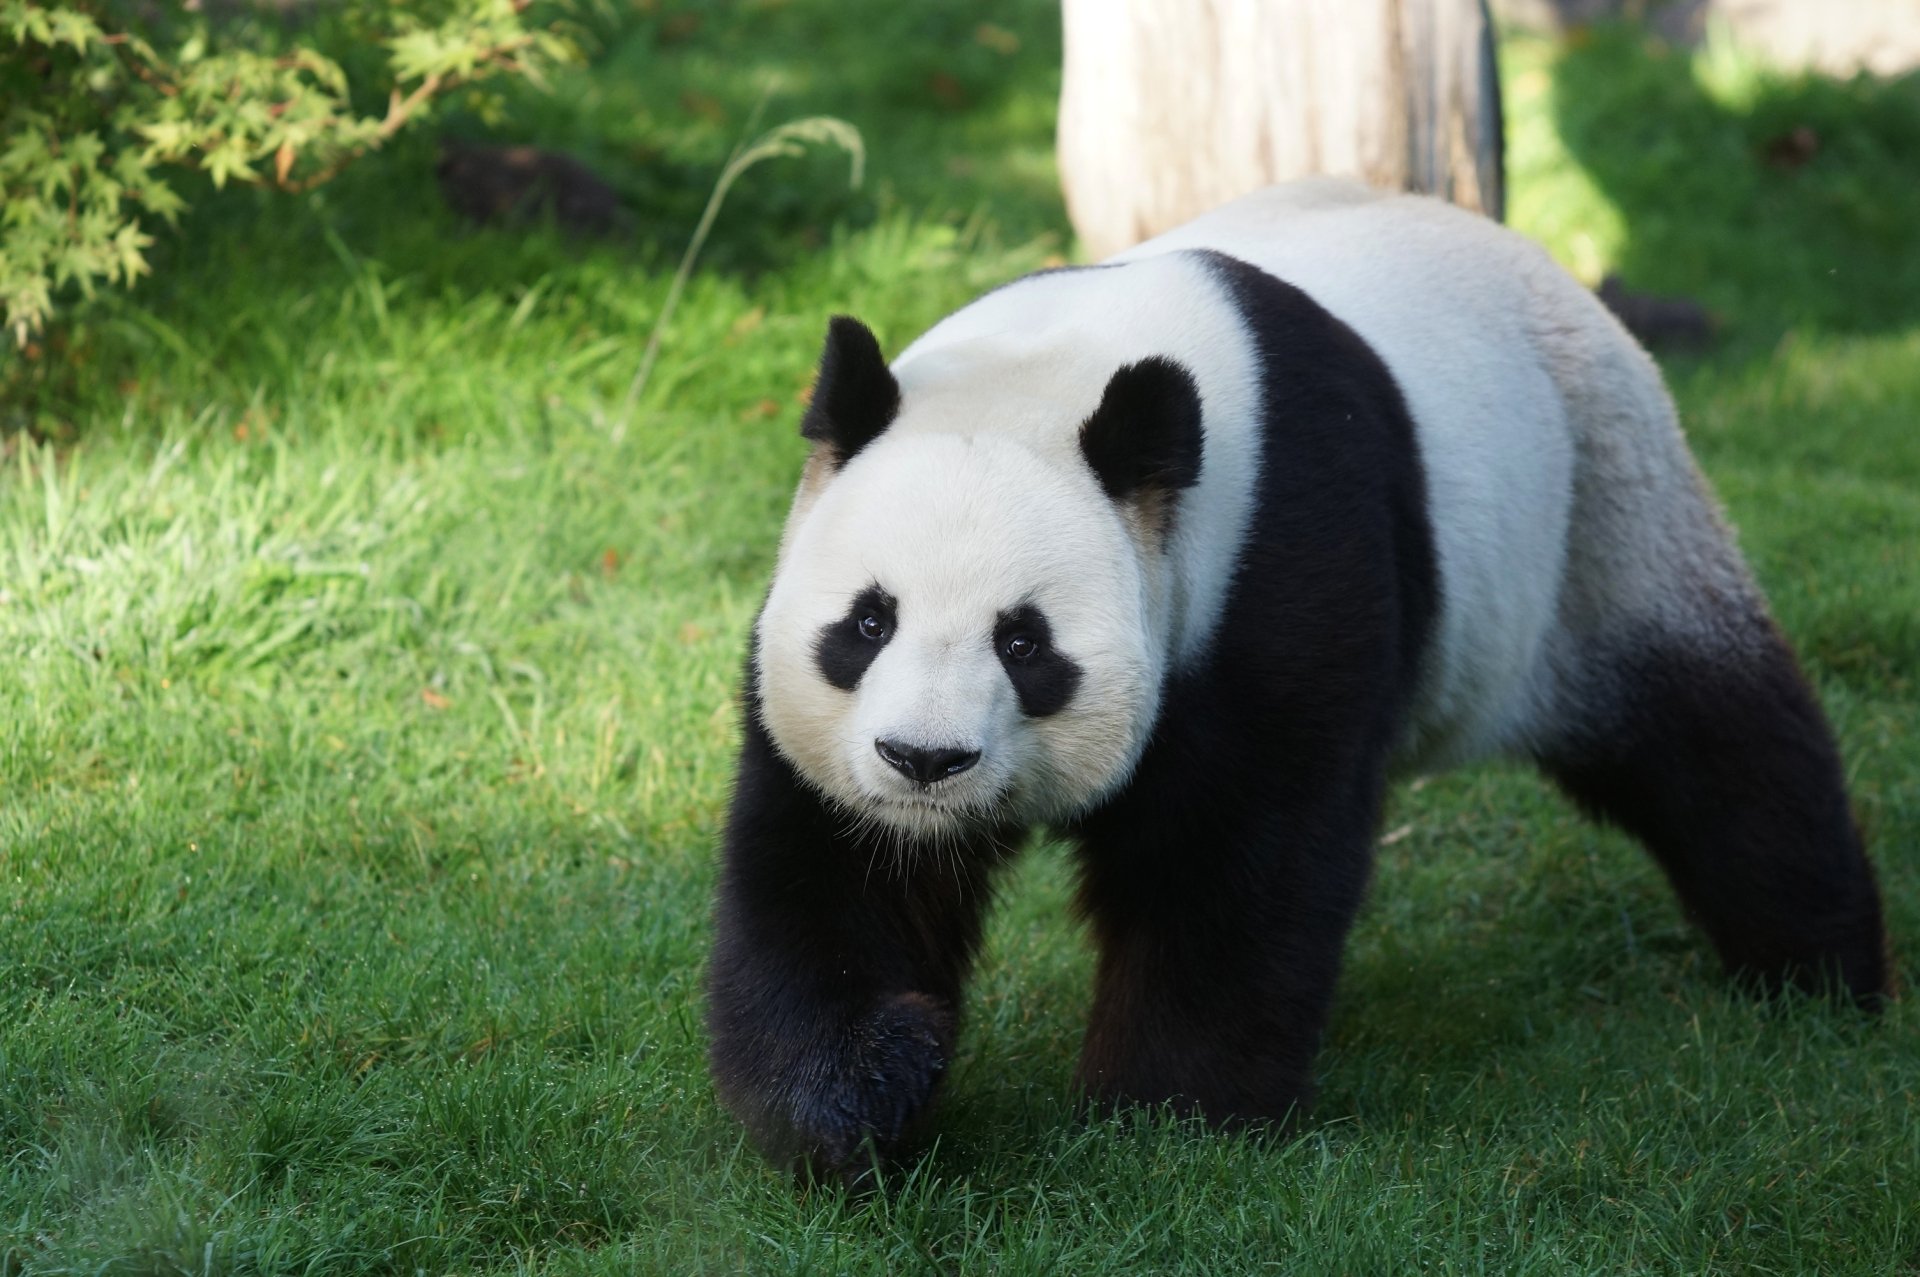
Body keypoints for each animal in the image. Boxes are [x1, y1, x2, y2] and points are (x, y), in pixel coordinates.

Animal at [706, 179, 1890, 1183]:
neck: (1059, 377)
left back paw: (1825, 974)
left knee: (1716, 740)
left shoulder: (1276, 560)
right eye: (868, 621)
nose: (926, 760)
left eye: (1025, 644)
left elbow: (1239, 852)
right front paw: (861, 1090)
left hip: (1599, 528)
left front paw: (1168, 1115)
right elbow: (832, 868)